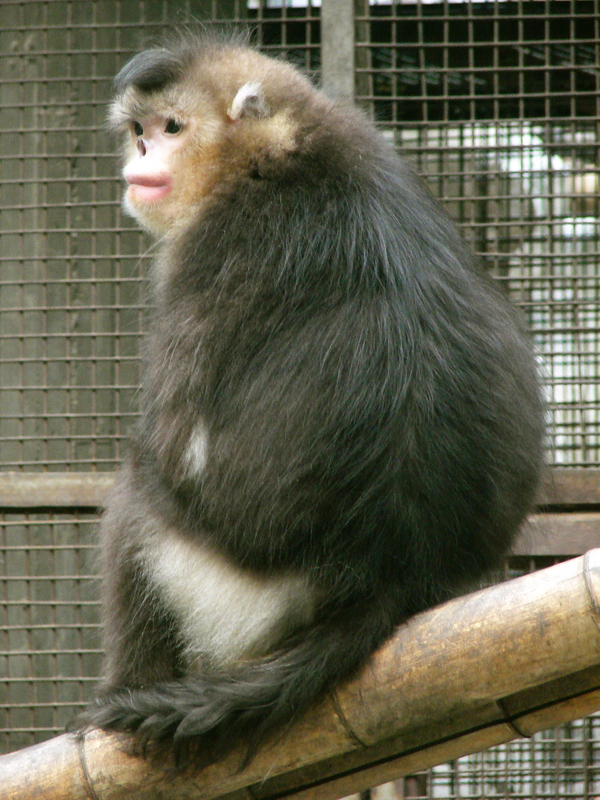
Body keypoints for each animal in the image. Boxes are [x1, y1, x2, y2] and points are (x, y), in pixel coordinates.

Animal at [76, 32, 544, 767]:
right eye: (139, 132)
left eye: (172, 128)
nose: (142, 163)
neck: (279, 149)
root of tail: (388, 578)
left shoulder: (217, 249)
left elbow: (177, 448)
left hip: (222, 588)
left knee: (137, 500)